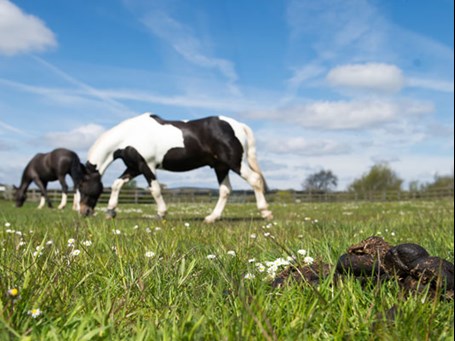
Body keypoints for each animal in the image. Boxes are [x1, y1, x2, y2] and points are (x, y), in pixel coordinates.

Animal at [77, 113, 274, 222]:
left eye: (81, 186)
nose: (83, 212)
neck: (128, 136)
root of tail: (238, 125)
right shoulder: (134, 168)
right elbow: (117, 184)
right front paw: (110, 211)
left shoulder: (146, 165)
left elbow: (155, 189)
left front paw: (161, 214)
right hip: (221, 166)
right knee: (225, 190)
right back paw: (211, 218)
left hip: (234, 162)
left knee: (255, 180)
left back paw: (265, 213)